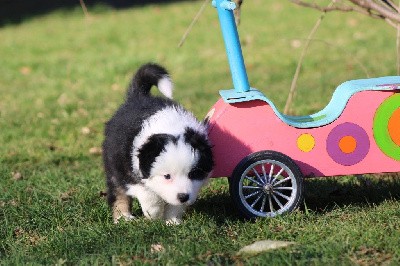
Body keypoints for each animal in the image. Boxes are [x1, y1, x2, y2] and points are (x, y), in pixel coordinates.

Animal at [103, 63, 216, 223]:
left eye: (193, 173)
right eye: (167, 176)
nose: (183, 197)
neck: (171, 127)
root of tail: (138, 96)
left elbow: (174, 206)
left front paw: (172, 222)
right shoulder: (131, 171)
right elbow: (148, 194)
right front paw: (154, 214)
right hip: (114, 167)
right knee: (118, 192)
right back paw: (123, 217)